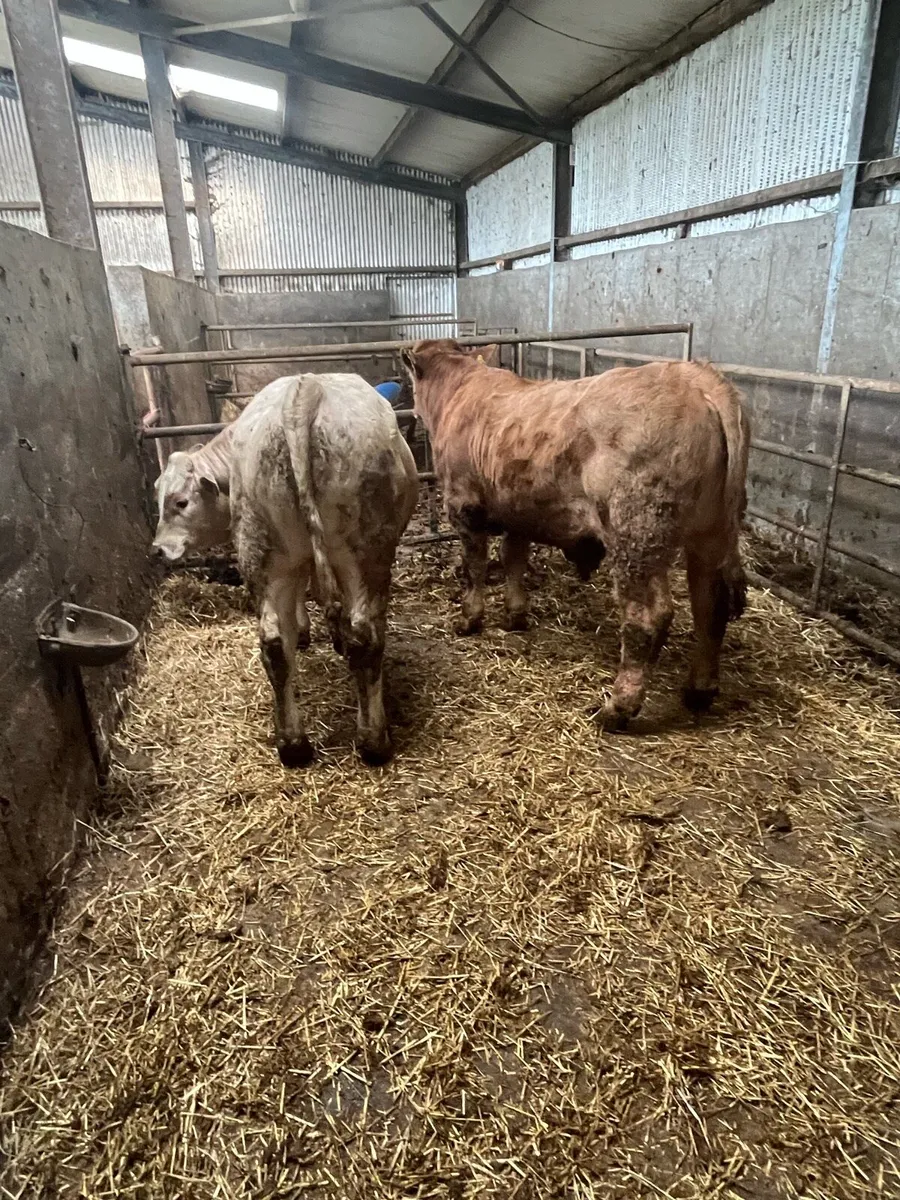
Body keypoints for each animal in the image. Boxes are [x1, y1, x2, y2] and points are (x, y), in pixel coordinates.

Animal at [152, 373, 419, 766]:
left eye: (180, 502)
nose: (157, 549)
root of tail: (305, 390)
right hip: (366, 555)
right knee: (364, 636)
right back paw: (374, 741)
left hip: (262, 554)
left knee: (274, 644)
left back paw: (293, 745)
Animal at [401, 340, 750, 729]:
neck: (460, 391)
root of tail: (693, 378)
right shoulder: (518, 510)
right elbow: (513, 558)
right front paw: (515, 615)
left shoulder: (464, 505)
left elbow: (474, 567)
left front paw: (469, 619)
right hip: (711, 534)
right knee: (710, 605)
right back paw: (698, 690)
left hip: (636, 536)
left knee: (647, 618)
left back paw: (617, 708)